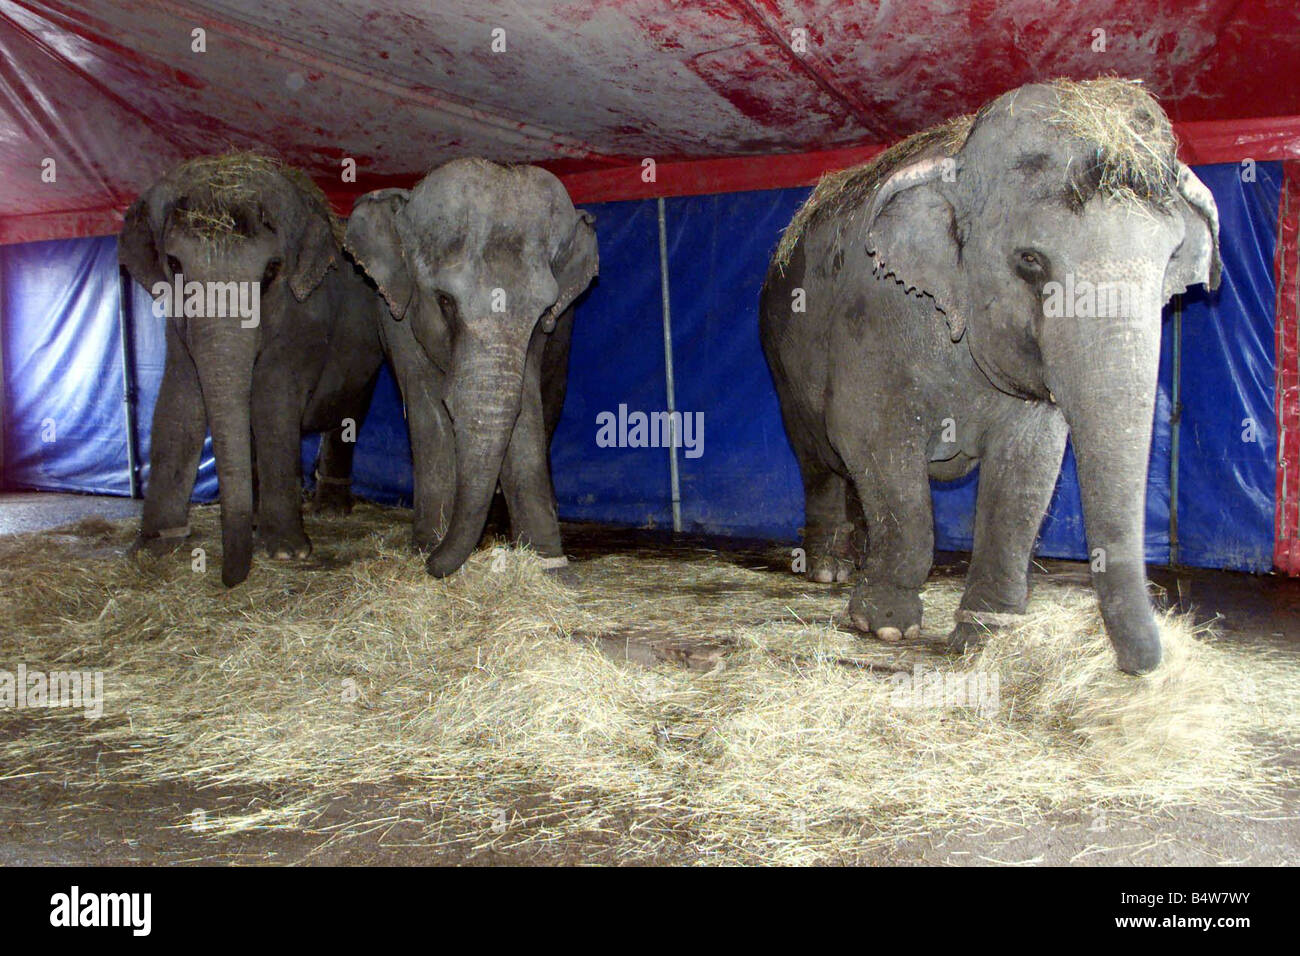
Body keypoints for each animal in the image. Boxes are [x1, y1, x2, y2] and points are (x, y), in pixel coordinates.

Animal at [119, 153, 387, 586]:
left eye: (271, 271)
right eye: (173, 264)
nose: (229, 579)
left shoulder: (303, 318)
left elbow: (273, 405)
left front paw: (287, 552)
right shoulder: (177, 327)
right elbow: (178, 403)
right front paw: (153, 546)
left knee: (349, 412)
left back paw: (330, 511)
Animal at [344, 158, 598, 577]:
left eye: (544, 311)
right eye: (445, 302)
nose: (433, 562)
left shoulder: (552, 325)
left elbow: (527, 405)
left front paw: (550, 565)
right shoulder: (395, 311)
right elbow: (426, 409)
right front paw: (426, 546)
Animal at [760, 79, 1220, 674]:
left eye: (1171, 259)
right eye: (1030, 259)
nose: (1142, 666)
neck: (960, 156)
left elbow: (1028, 466)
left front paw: (986, 634)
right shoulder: (876, 316)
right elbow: (874, 441)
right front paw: (884, 625)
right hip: (780, 354)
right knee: (819, 457)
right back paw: (828, 571)